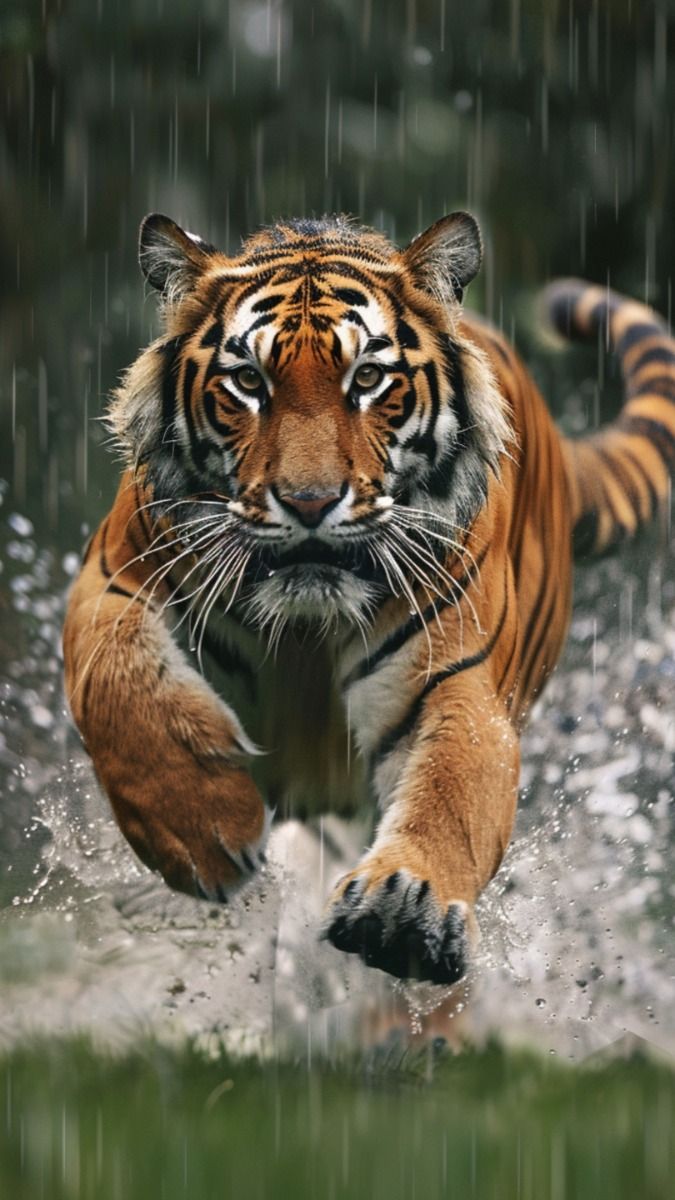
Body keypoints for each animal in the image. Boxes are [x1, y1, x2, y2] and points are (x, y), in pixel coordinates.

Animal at [62, 210, 675, 986]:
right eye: (248, 380)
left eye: (369, 378)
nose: (309, 502)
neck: (304, 626)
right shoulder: (110, 576)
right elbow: (118, 685)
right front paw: (204, 830)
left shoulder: (455, 681)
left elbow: (451, 792)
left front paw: (404, 906)